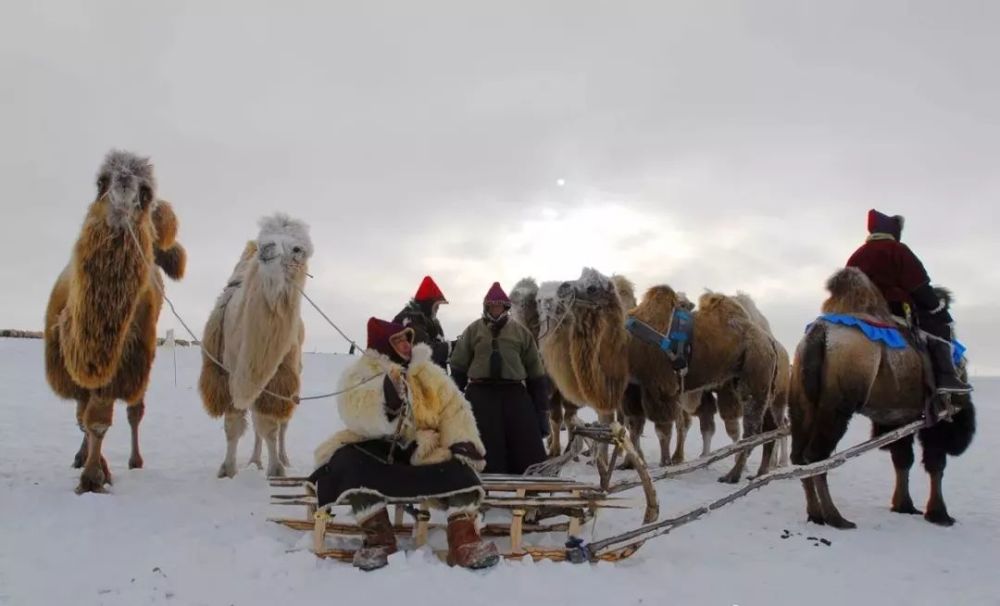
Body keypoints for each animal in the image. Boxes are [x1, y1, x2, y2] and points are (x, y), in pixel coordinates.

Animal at [45, 150, 187, 496]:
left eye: (145, 191)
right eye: (101, 181)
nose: (124, 182)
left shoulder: (123, 354)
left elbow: (98, 418)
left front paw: (94, 477)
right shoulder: (73, 360)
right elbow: (82, 416)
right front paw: (90, 463)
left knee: (135, 411)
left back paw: (135, 460)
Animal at [199, 216, 312, 482]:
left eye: (297, 249)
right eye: (263, 239)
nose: (267, 249)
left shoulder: (278, 378)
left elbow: (270, 425)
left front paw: (277, 470)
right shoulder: (227, 373)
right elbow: (233, 425)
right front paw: (228, 469)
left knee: (282, 424)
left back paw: (283, 457)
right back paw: (254, 459)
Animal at [788, 268, 976, 528]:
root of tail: (820, 334)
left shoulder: (897, 417)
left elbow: (902, 458)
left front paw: (904, 506)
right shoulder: (937, 417)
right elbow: (935, 463)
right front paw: (940, 515)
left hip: (802, 403)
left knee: (800, 458)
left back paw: (816, 514)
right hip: (837, 405)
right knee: (817, 456)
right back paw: (836, 517)